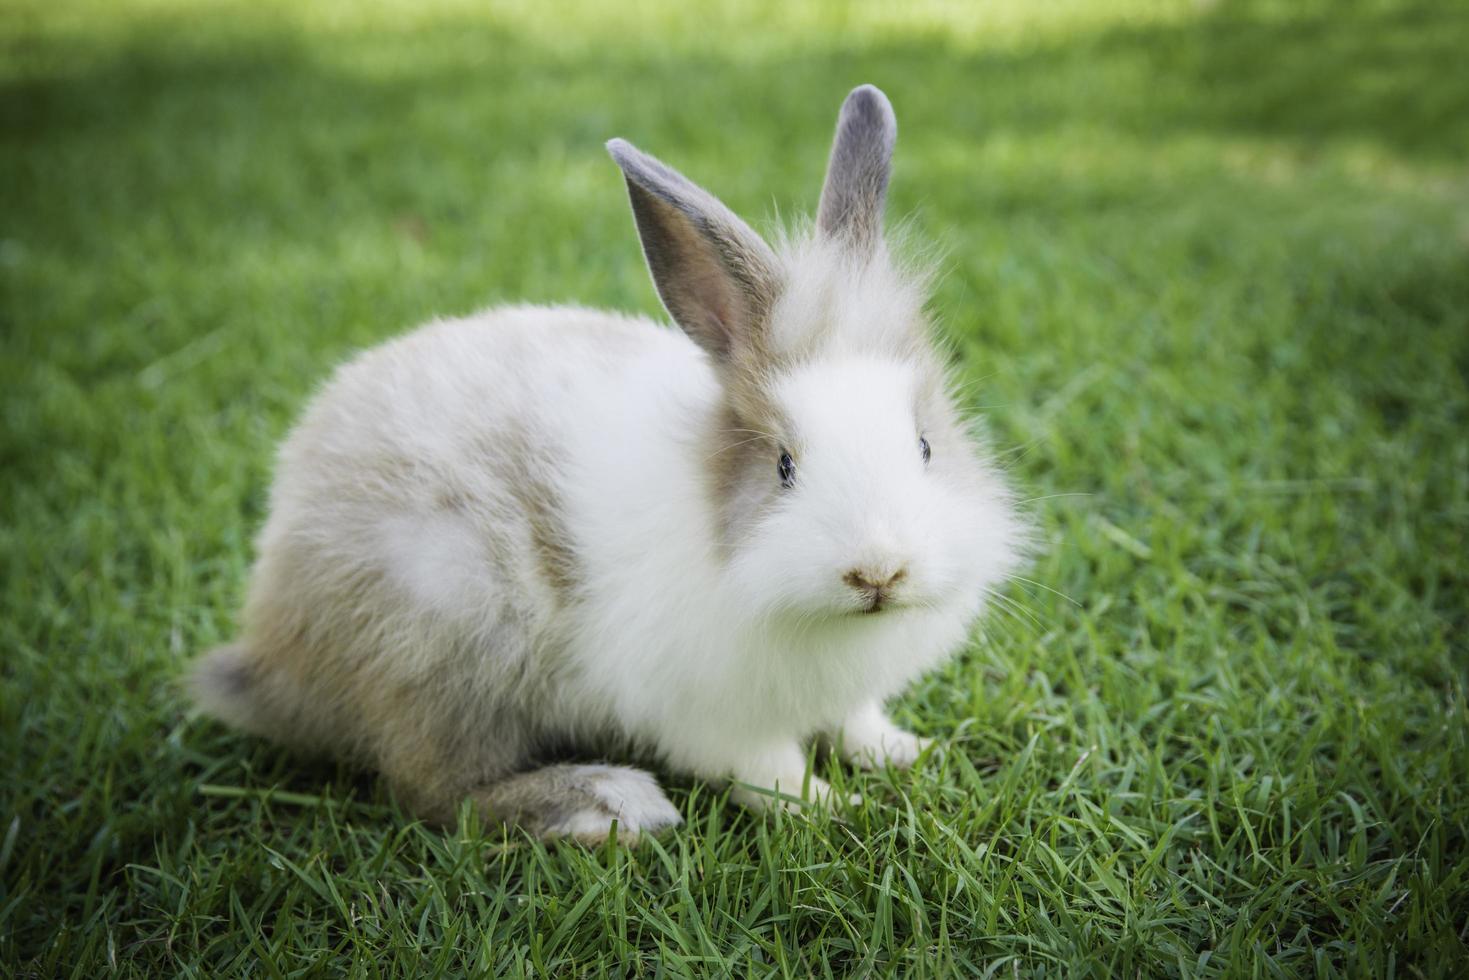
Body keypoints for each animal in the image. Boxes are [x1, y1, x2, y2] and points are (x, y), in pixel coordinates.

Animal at [192, 84, 1022, 846]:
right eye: (784, 466)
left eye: (925, 446)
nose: (877, 572)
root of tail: (273, 648)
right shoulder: (713, 712)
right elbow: (768, 771)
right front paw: (833, 810)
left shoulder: (842, 694)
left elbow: (854, 723)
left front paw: (908, 754)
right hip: (445, 647)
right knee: (437, 792)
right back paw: (608, 804)